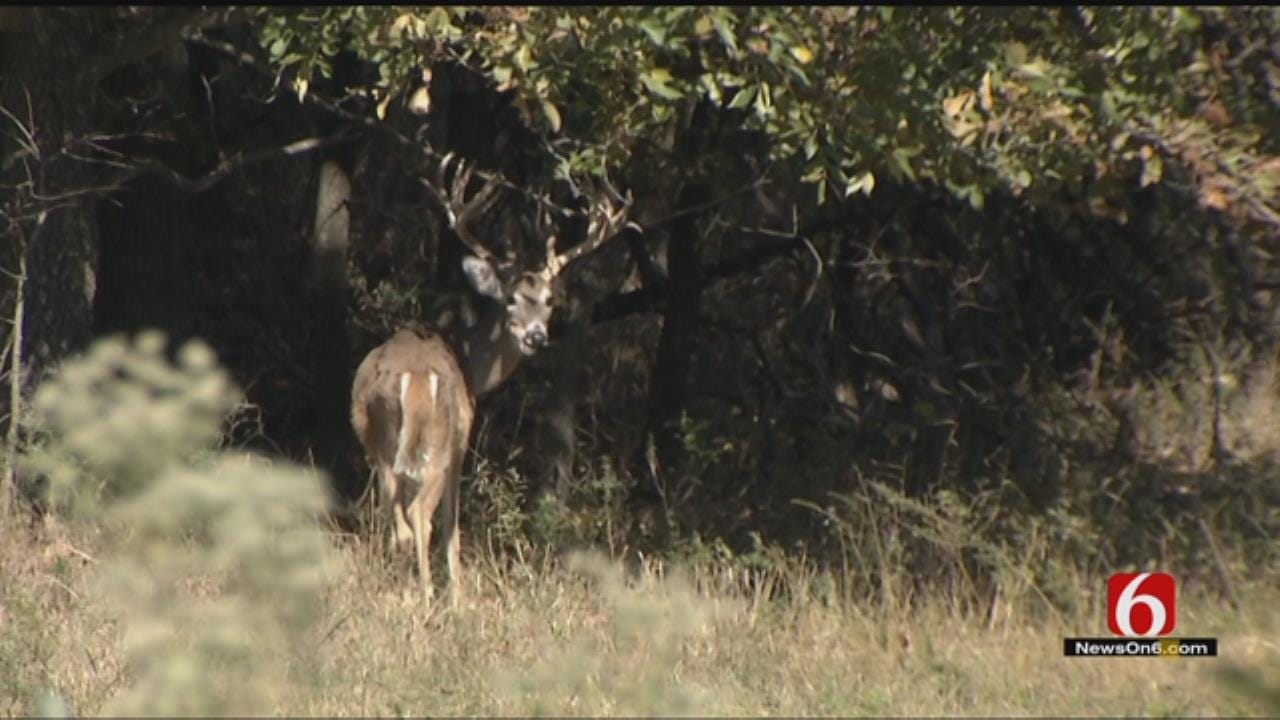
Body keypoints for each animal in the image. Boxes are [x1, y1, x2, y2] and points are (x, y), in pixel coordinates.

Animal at [350, 154, 632, 605]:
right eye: (511, 299)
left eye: (549, 300)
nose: (536, 337)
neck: (469, 363)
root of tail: (410, 377)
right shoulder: (463, 440)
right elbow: (452, 524)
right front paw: (457, 596)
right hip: (439, 442)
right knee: (420, 515)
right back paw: (428, 599)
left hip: (377, 444)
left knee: (398, 523)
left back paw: (406, 591)